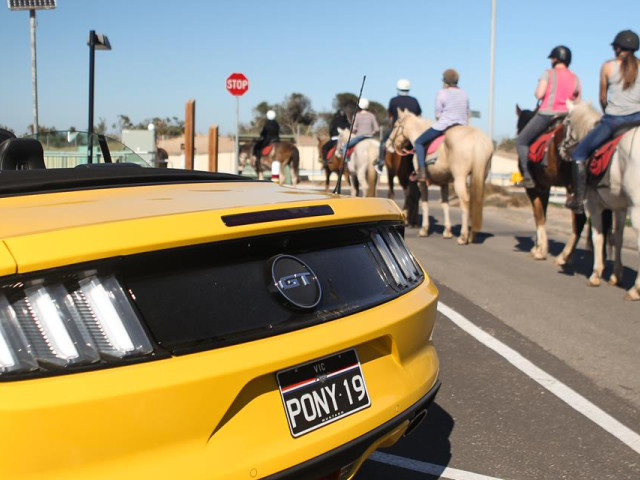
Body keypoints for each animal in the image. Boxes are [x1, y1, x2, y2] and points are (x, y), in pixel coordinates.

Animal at [382, 109, 492, 244]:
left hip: (459, 178)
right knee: (476, 202)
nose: (388, 144)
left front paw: (424, 229)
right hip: (480, 176)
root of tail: (478, 140)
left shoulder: (421, 182)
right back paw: (472, 235)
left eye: (395, 126)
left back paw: (463, 236)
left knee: (465, 201)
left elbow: (424, 202)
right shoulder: (444, 182)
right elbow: (445, 204)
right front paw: (447, 231)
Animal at [564, 98, 640, 300]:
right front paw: (615, 276)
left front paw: (596, 274)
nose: (562, 149)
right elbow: (617, 237)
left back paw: (636, 289)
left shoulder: (594, 205)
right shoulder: (620, 207)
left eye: (566, 122)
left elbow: (598, 237)